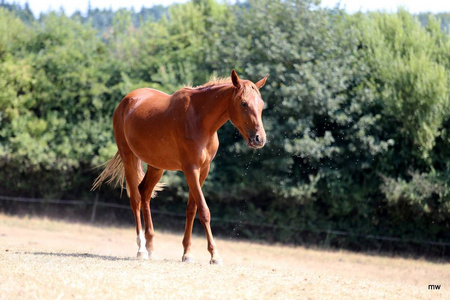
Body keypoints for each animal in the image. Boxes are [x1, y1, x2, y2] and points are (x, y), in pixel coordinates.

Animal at [92, 69, 268, 264]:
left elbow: (192, 209)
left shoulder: (203, 170)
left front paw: (187, 253)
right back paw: (142, 249)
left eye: (261, 105)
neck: (199, 119)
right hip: (129, 159)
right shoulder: (191, 169)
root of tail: (126, 101)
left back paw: (151, 247)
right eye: (244, 103)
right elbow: (204, 210)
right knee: (136, 199)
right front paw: (214, 255)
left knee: (145, 194)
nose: (259, 139)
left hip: (156, 166)